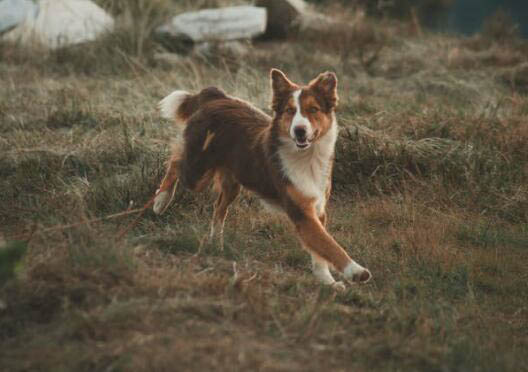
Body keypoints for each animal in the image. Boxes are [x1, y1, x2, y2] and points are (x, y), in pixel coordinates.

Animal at [153, 70, 372, 290]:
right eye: (290, 110)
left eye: (313, 109)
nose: (299, 130)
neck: (307, 157)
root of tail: (215, 97)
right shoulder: (301, 212)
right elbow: (329, 245)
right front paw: (355, 271)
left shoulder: (317, 208)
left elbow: (320, 252)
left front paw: (327, 281)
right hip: (197, 173)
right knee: (176, 161)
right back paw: (161, 201)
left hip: (233, 182)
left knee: (218, 207)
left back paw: (216, 241)